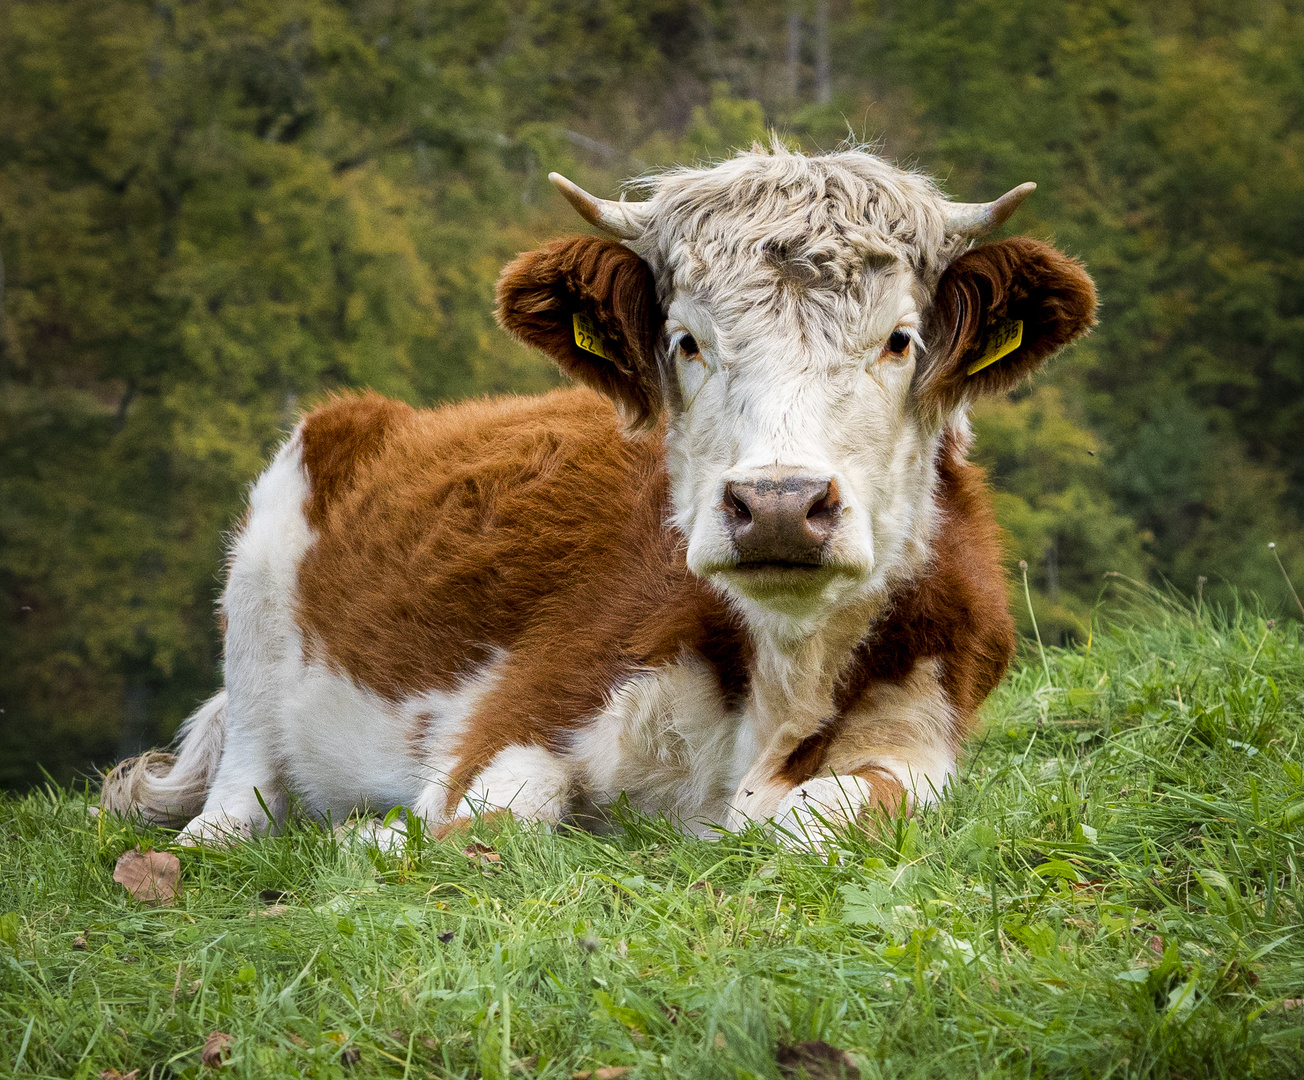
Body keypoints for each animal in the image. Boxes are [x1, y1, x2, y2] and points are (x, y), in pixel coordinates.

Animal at [101, 145, 1095, 850]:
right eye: (686, 341)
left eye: (899, 340)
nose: (777, 503)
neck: (780, 673)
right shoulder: (527, 706)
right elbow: (491, 819)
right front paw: (376, 835)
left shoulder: (923, 731)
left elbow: (822, 818)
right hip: (263, 572)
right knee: (242, 792)